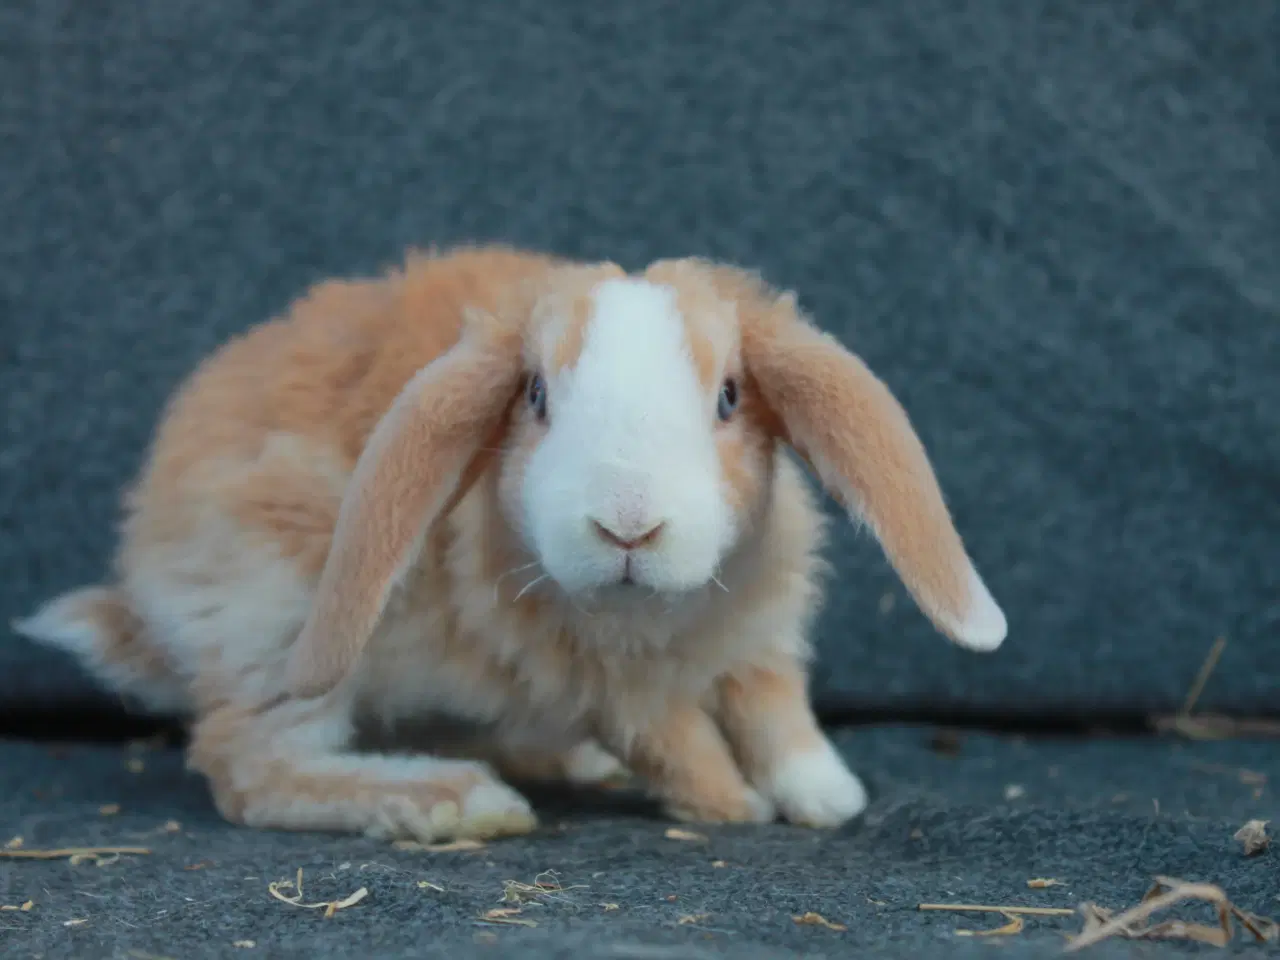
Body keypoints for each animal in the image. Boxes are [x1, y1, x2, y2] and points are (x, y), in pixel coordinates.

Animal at [15, 244, 1003, 844]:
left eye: (728, 397)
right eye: (534, 397)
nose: (628, 524)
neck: (666, 619)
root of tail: (149, 580)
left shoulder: (759, 645)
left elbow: (777, 712)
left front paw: (827, 798)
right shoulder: (617, 689)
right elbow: (681, 739)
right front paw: (734, 807)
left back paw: (564, 765)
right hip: (279, 616)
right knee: (253, 767)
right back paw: (455, 799)